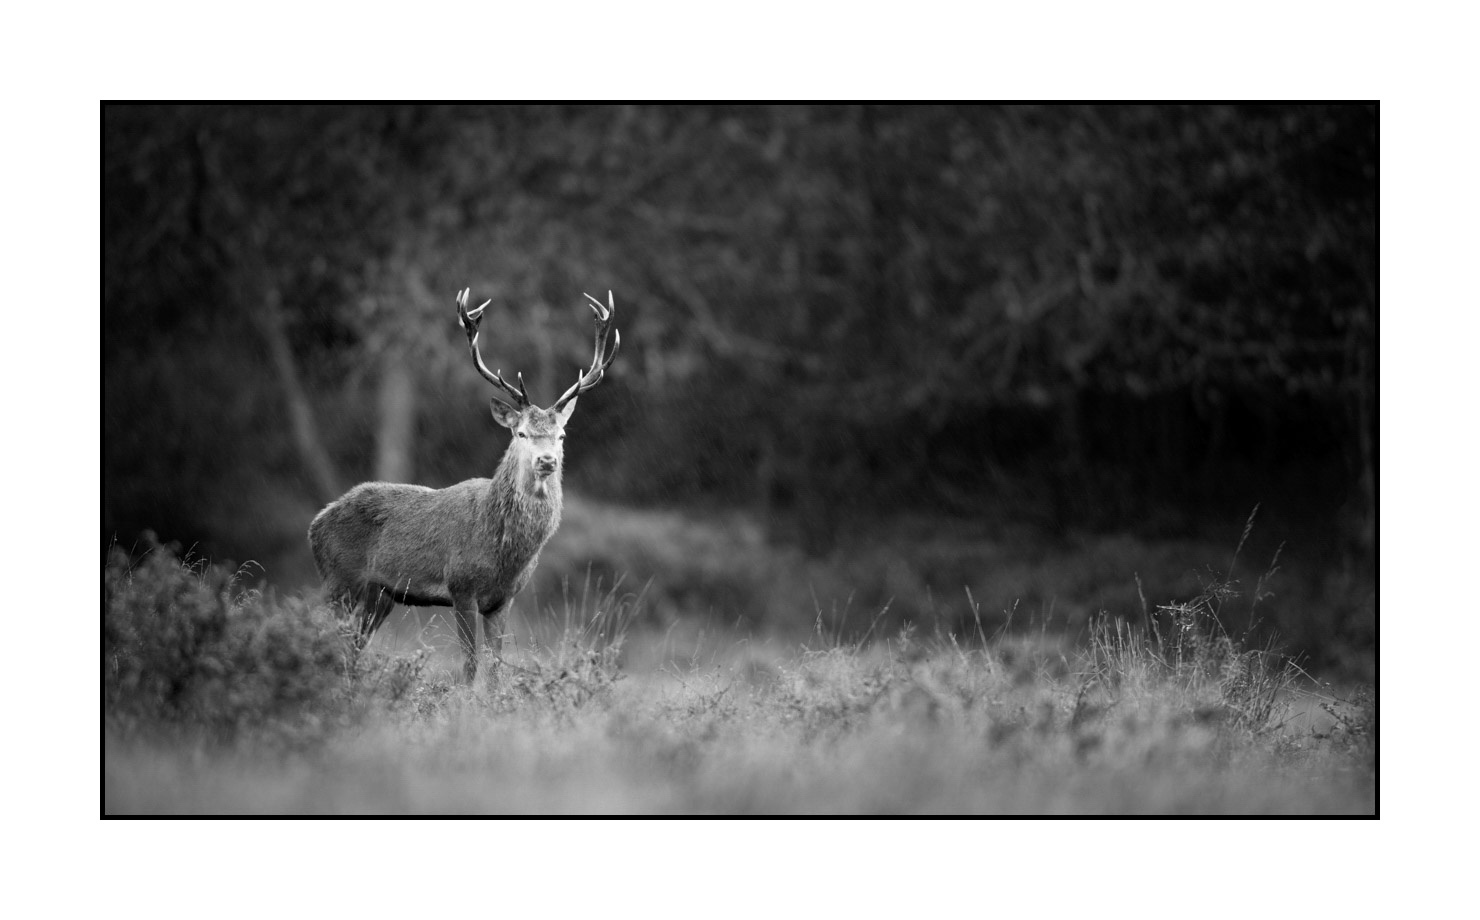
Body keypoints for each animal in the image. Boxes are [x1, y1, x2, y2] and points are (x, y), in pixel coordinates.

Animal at [308, 287, 619, 682]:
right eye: (521, 432)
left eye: (561, 435)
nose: (546, 460)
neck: (503, 552)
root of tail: (315, 523)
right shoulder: (461, 587)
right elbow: (470, 665)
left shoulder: (503, 599)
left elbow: (496, 667)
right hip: (338, 579)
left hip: (379, 594)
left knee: (352, 646)